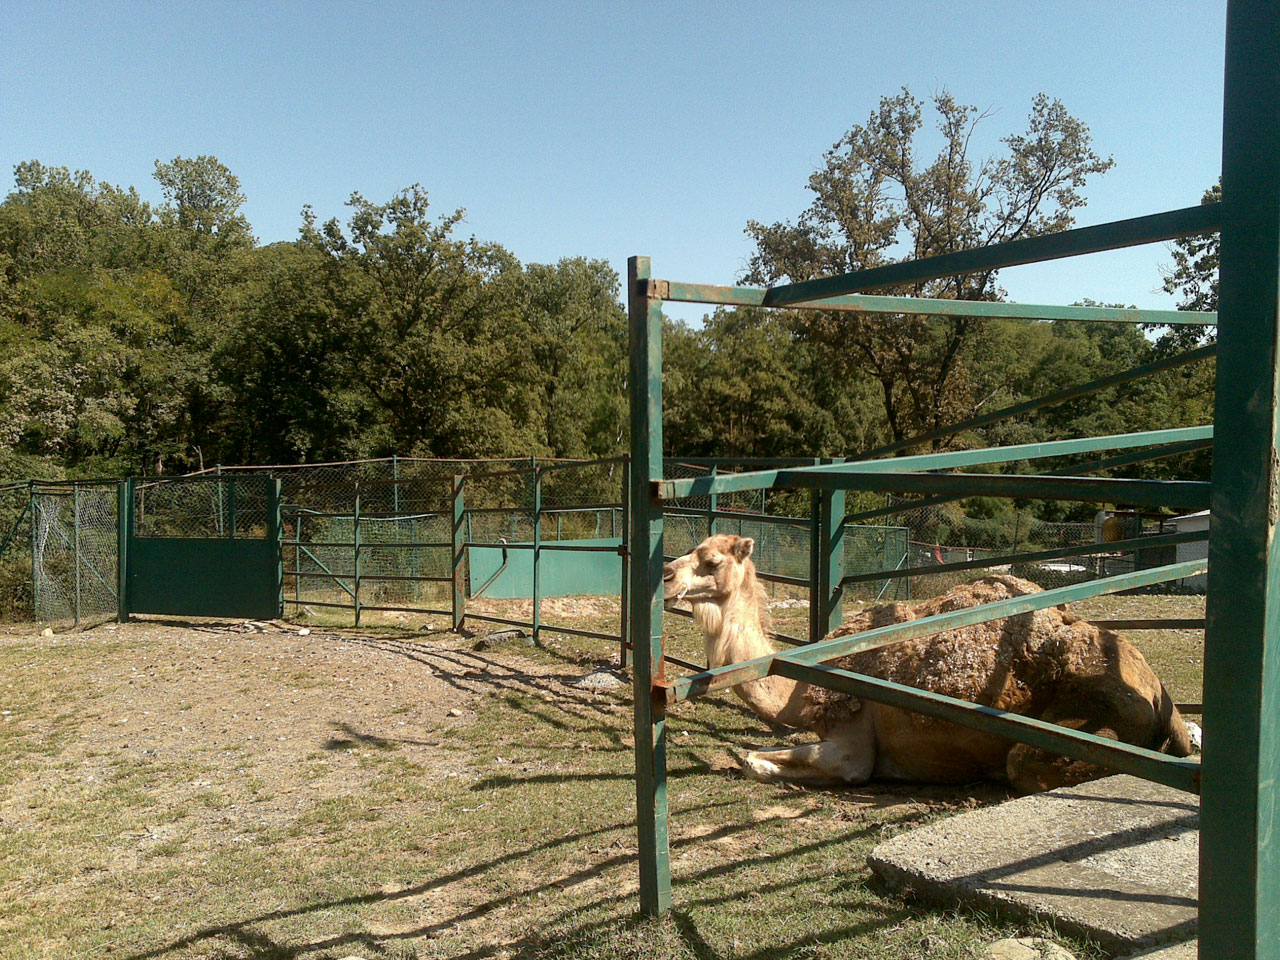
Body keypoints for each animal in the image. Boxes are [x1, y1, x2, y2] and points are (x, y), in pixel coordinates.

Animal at [665, 529, 1192, 793]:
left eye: (712, 561)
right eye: (692, 551)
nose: (667, 575)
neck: (803, 686)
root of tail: (1160, 696)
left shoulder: (854, 746)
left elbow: (755, 760)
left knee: (1025, 764)